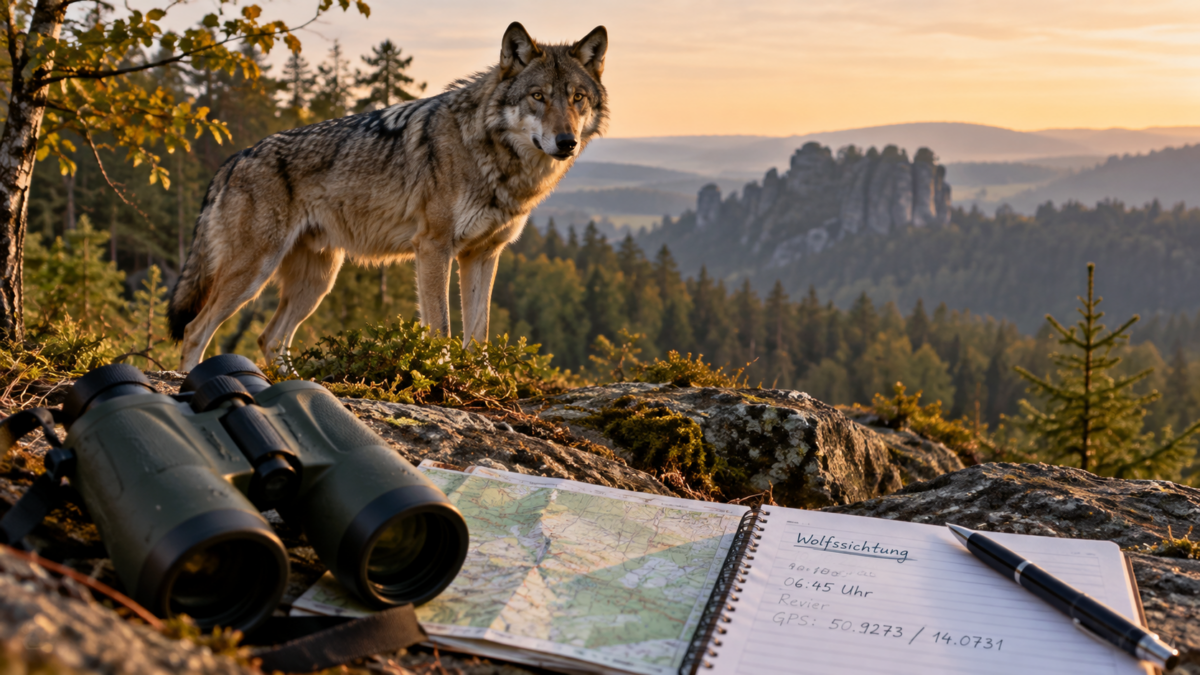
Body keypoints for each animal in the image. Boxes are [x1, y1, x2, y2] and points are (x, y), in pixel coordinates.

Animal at [167, 22, 608, 371]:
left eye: (577, 97)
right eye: (538, 96)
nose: (566, 142)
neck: (493, 156)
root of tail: (232, 160)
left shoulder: (482, 255)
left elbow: (478, 333)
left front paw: (484, 380)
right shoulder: (433, 248)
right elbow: (441, 328)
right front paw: (445, 378)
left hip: (318, 282)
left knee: (270, 338)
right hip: (253, 273)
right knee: (195, 329)